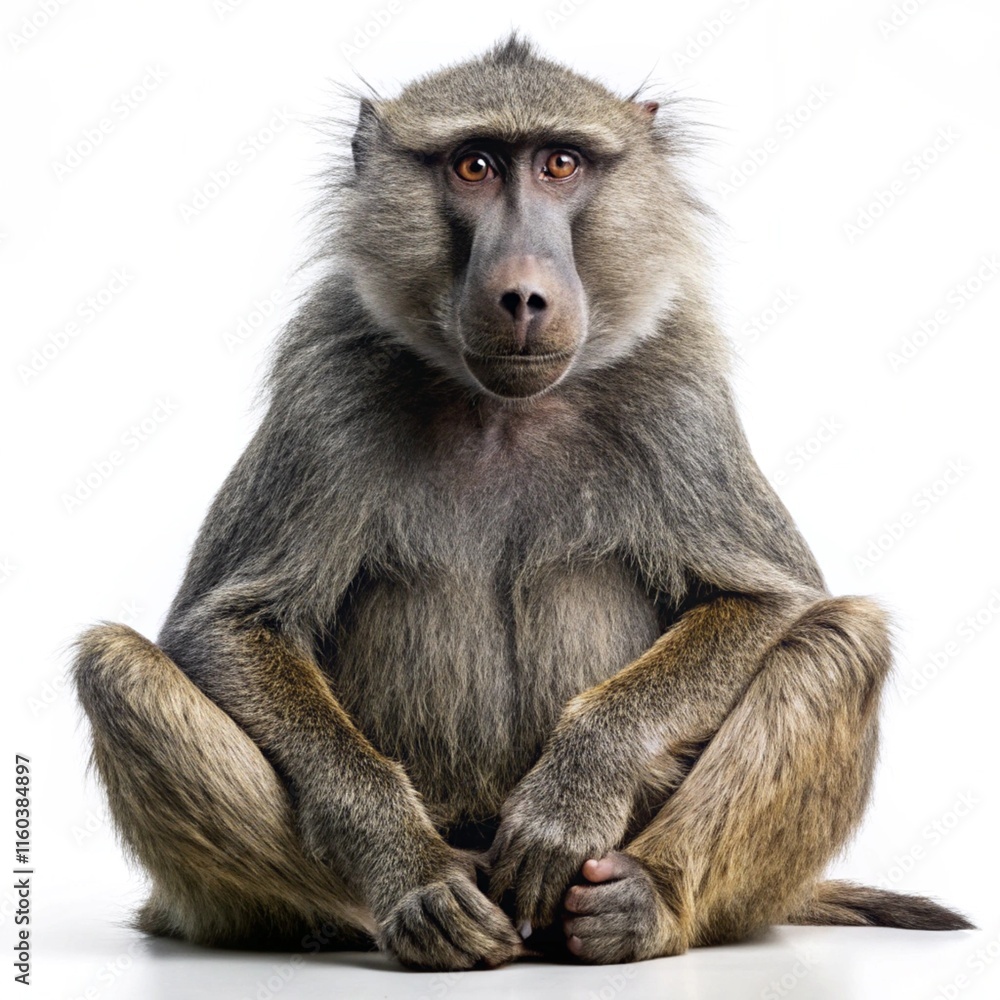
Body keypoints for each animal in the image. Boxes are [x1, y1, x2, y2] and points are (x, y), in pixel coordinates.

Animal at [72, 34, 972, 971]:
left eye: (560, 164)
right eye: (474, 166)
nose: (524, 296)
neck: (502, 408)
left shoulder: (678, 390)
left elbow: (773, 602)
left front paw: (569, 803)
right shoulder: (327, 388)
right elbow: (224, 628)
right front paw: (409, 869)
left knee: (842, 640)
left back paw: (643, 903)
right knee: (117, 667)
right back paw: (400, 902)